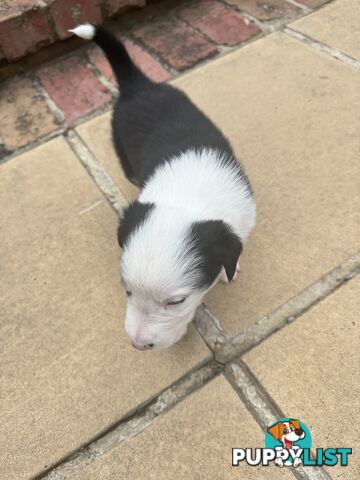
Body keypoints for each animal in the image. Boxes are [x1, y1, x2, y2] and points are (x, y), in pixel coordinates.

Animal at [71, 24, 256, 350]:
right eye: (127, 290)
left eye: (176, 302)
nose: (138, 344)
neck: (188, 194)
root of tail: (138, 85)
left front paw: (227, 273)